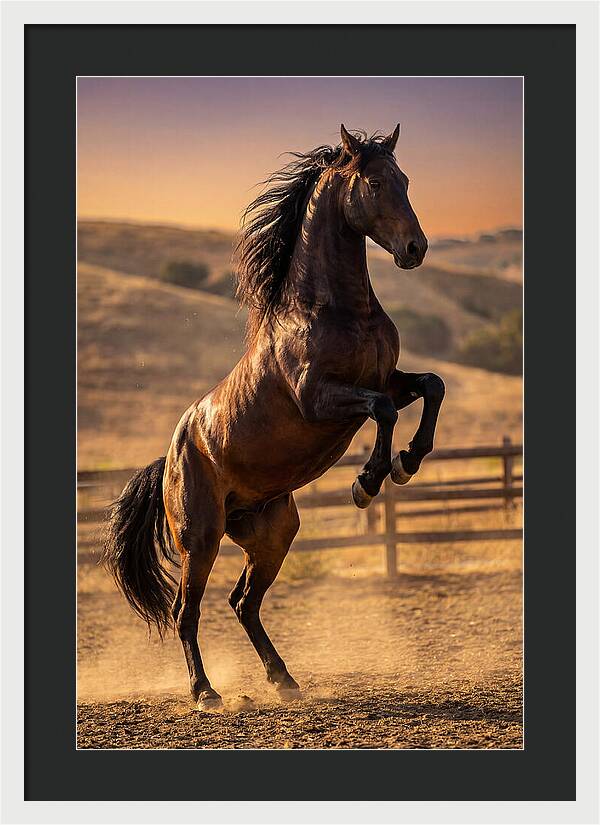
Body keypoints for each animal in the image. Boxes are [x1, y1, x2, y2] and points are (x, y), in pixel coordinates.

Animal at [102, 124, 445, 710]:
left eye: (405, 179)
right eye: (375, 182)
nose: (415, 249)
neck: (333, 309)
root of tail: (169, 458)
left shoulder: (387, 380)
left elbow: (431, 387)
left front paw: (407, 462)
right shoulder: (320, 398)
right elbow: (381, 412)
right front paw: (367, 482)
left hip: (272, 532)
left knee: (244, 603)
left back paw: (283, 680)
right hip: (201, 538)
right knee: (186, 612)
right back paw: (205, 693)